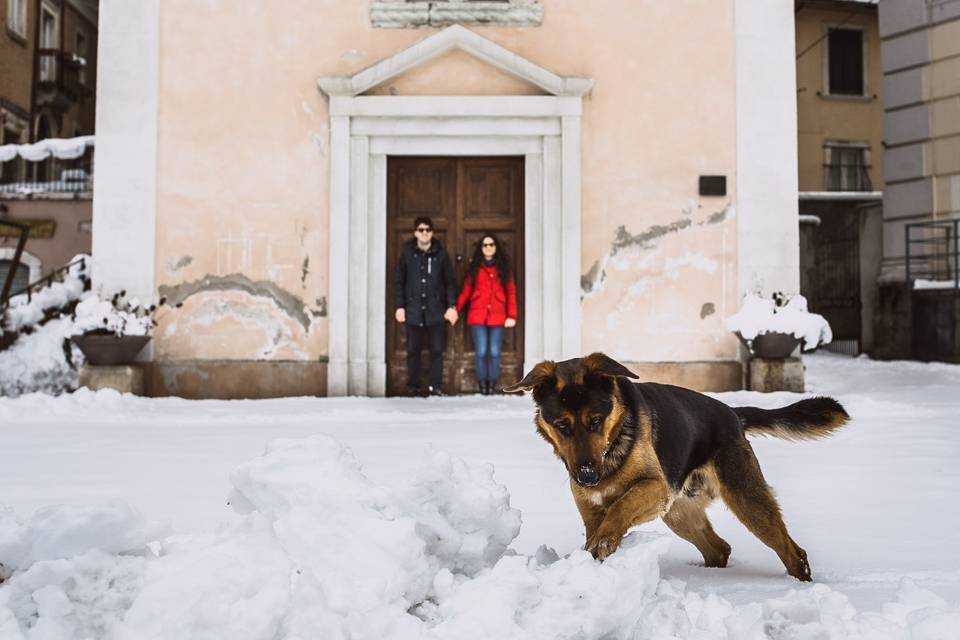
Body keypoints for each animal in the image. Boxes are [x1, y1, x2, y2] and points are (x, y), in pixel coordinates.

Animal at [502, 352, 848, 584]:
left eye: (596, 421)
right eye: (562, 426)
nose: (587, 477)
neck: (612, 448)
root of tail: (732, 414)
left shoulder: (654, 486)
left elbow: (620, 506)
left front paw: (604, 543)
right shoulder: (592, 507)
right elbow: (598, 524)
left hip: (747, 502)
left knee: (792, 552)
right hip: (680, 513)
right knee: (719, 549)